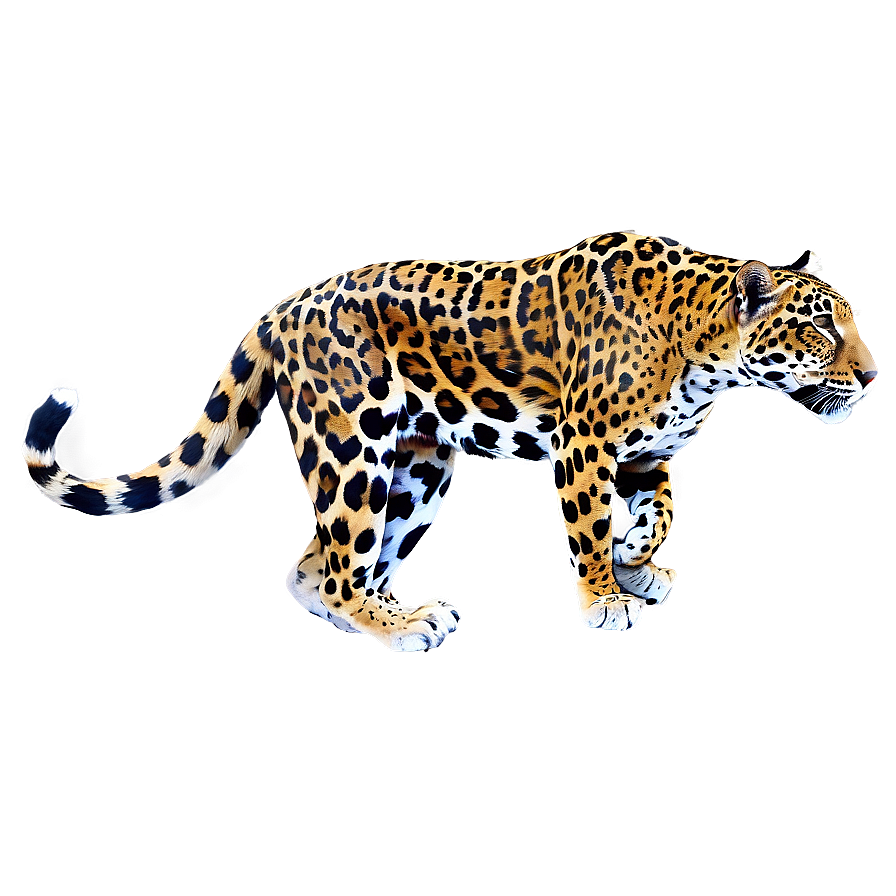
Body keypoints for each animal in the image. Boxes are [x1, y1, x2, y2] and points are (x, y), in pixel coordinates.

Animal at [22, 233, 877, 651]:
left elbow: (661, 505)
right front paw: (606, 598)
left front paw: (639, 559)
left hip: (420, 468)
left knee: (315, 571)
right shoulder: (587, 441)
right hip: (355, 445)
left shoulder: (644, 449)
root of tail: (289, 303)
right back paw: (410, 623)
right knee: (335, 568)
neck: (706, 360)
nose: (873, 378)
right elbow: (586, 527)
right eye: (822, 328)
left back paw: (389, 619)